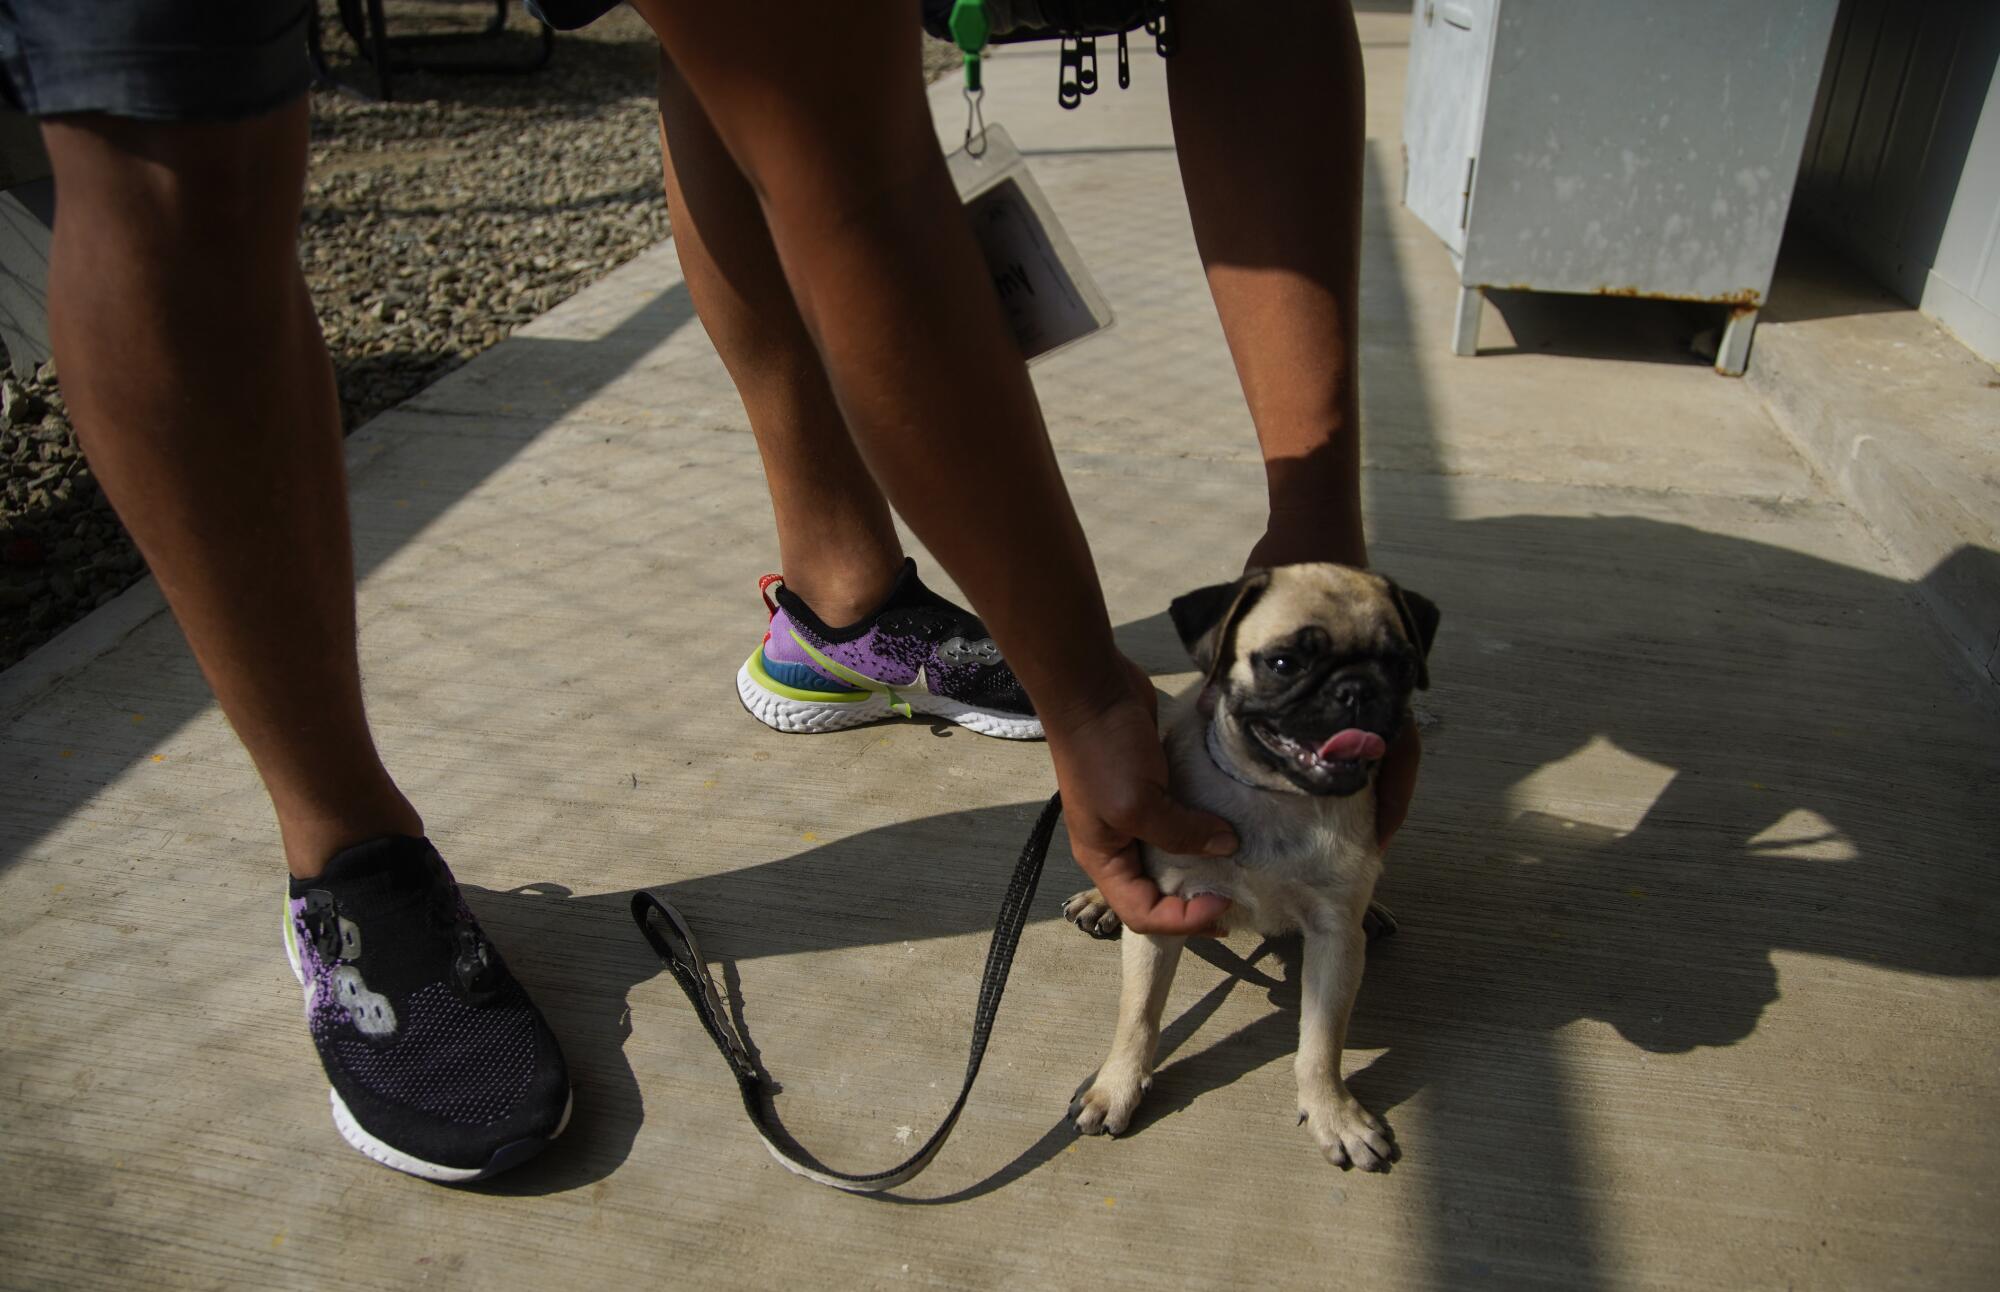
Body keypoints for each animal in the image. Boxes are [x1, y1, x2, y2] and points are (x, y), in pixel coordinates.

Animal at [1064, 564, 1440, 1176]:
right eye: (1284, 663)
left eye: (1402, 666)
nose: (1357, 689)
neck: (1277, 796)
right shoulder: (1163, 917)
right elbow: (1138, 1015)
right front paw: (1116, 1086)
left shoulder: (1334, 938)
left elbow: (1321, 1041)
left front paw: (1332, 1112)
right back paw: (1100, 899)